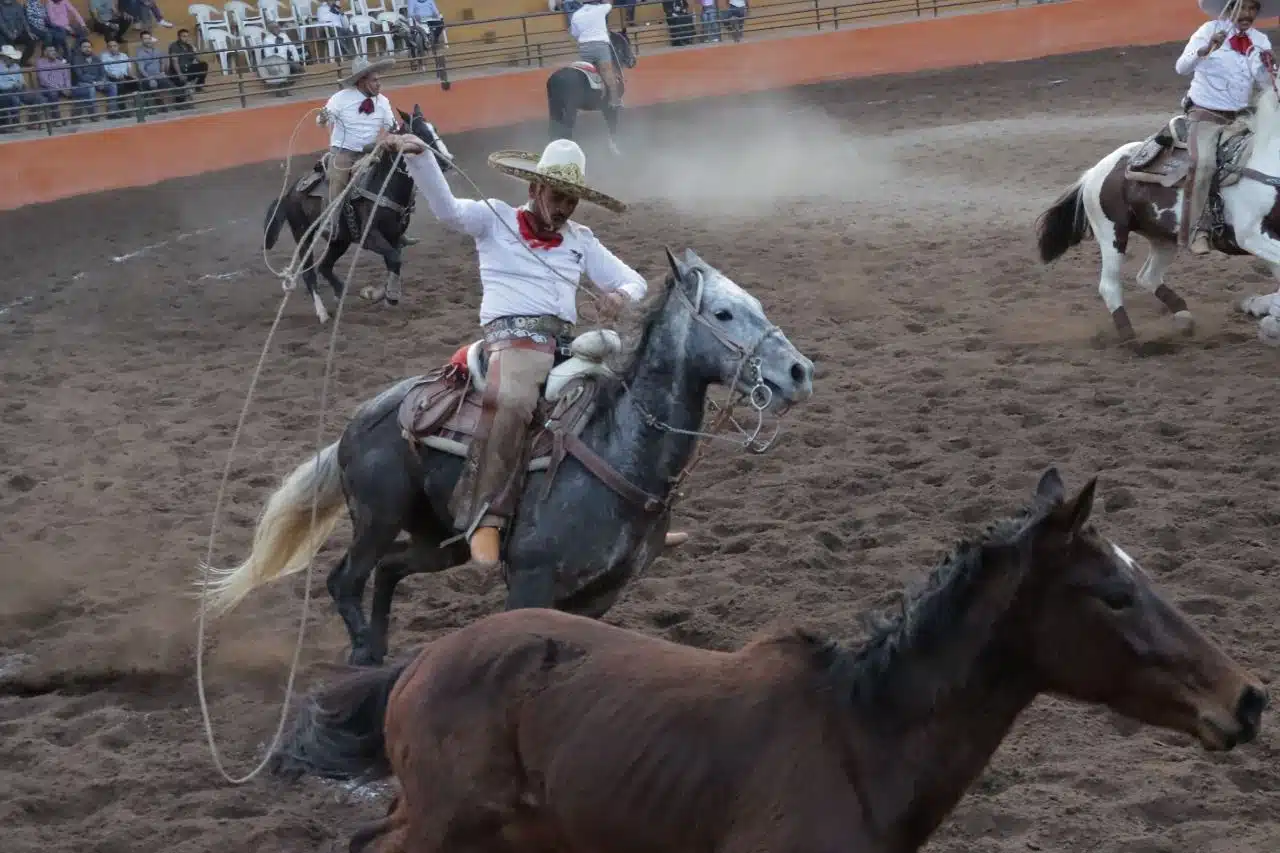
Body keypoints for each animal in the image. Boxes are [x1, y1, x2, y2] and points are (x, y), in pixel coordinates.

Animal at [204, 245, 814, 666]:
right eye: (724, 313)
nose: (799, 371)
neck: (617, 449)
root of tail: (357, 422)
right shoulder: (530, 582)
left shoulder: (602, 594)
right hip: (377, 518)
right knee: (346, 580)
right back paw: (363, 655)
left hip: (441, 539)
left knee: (392, 569)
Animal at [257, 103, 453, 322]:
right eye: (418, 133)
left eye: (434, 128)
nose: (447, 160)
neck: (383, 185)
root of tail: (290, 191)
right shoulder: (371, 237)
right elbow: (394, 259)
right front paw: (382, 295)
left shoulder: (394, 236)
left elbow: (393, 262)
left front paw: (388, 295)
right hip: (303, 235)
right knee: (310, 274)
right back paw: (322, 313)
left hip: (339, 240)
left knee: (325, 266)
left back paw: (340, 292)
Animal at [1034, 79, 1280, 345]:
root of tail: (1093, 173)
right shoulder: (1249, 235)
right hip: (1112, 234)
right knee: (1109, 285)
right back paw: (1132, 339)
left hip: (1164, 239)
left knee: (1148, 277)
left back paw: (1183, 316)